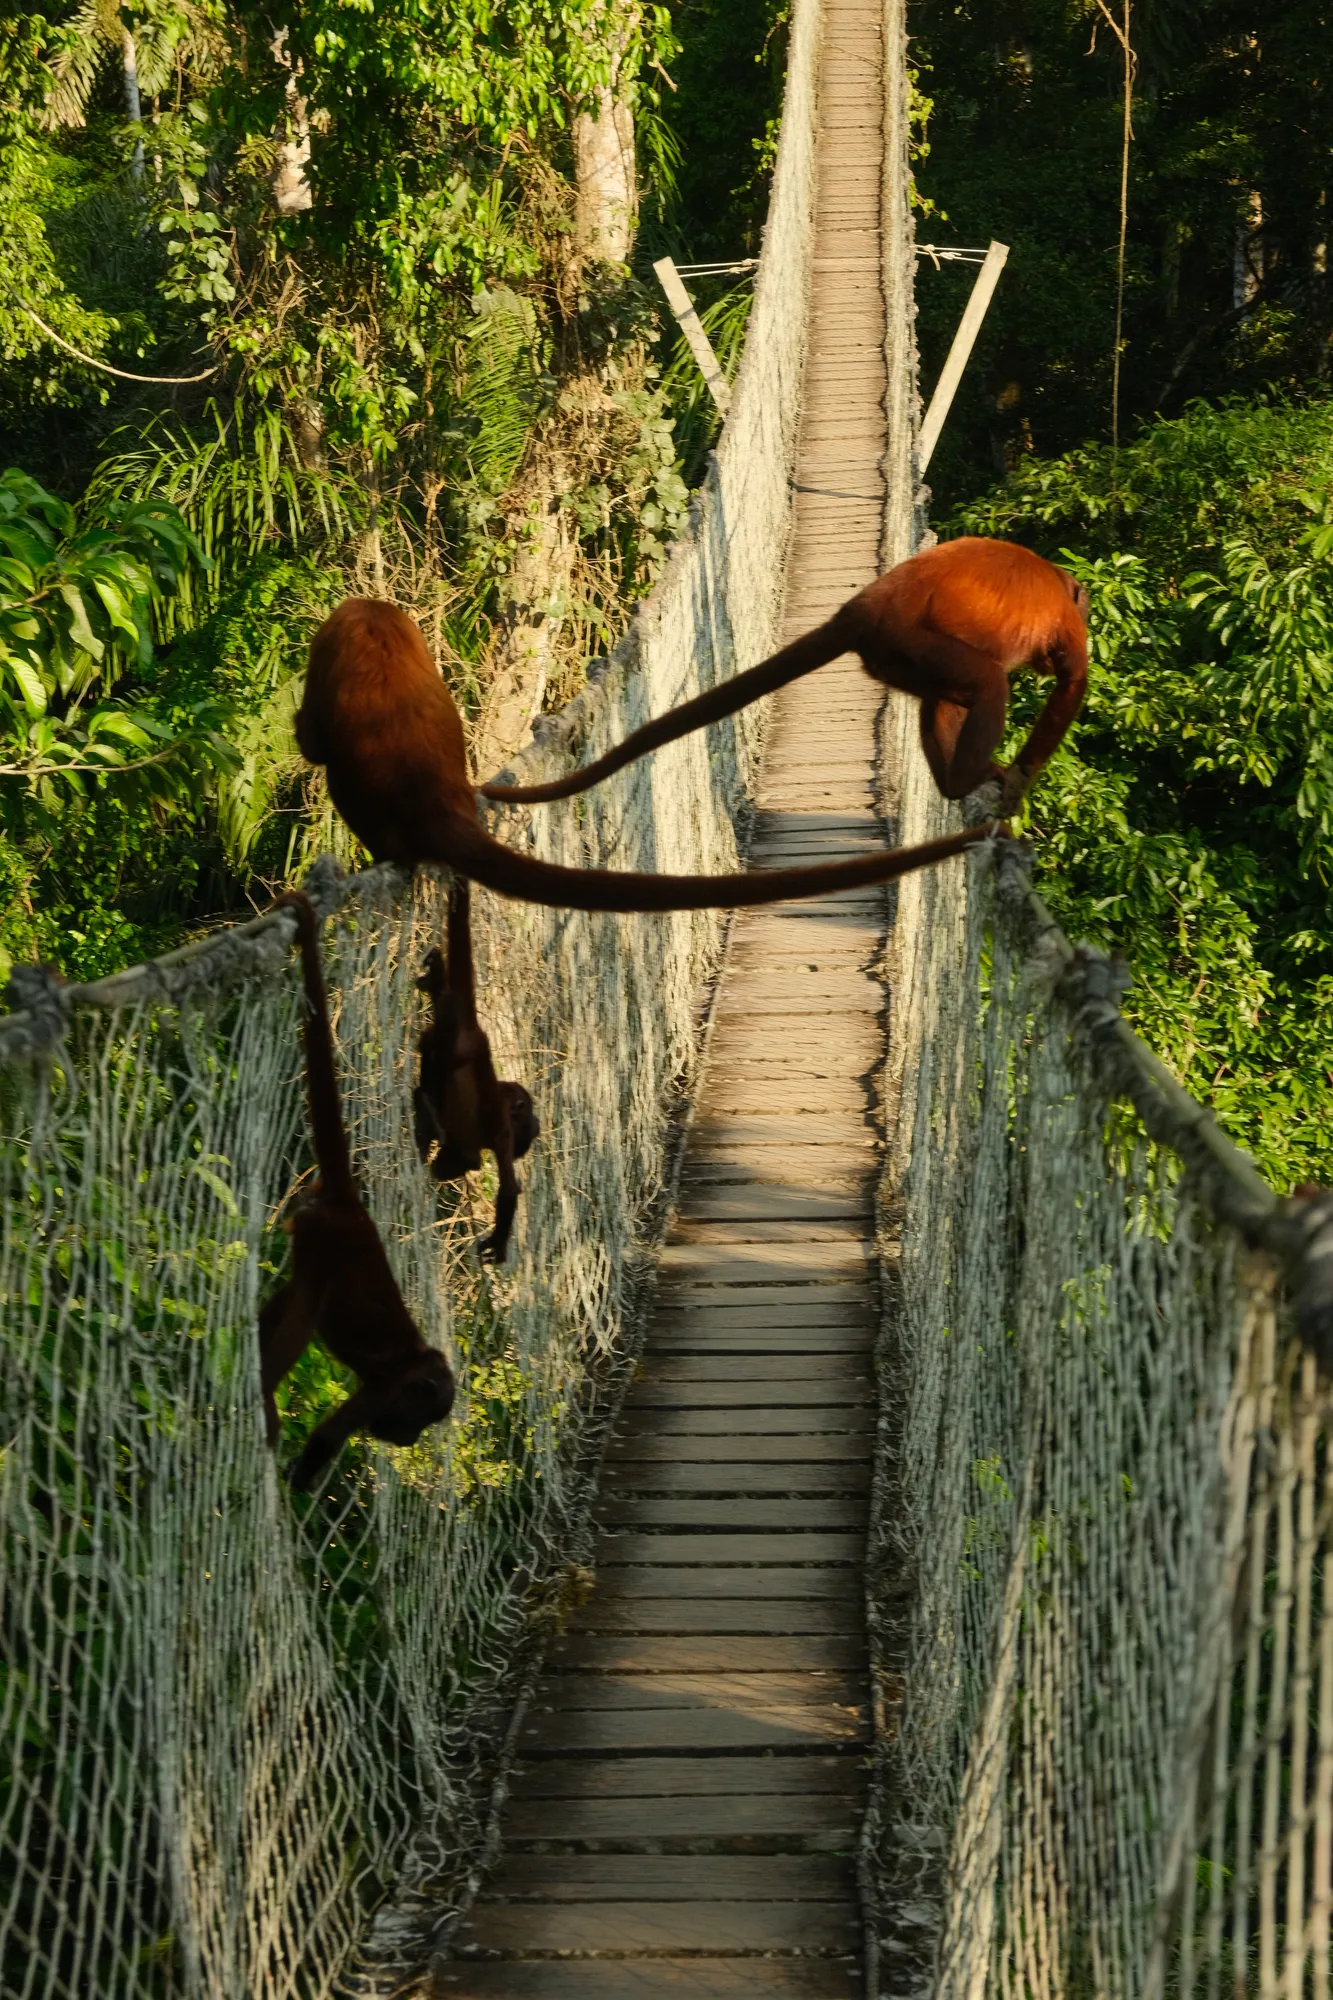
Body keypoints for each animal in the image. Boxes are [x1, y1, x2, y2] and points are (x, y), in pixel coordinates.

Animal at [260, 891, 455, 1490]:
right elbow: (329, 1434)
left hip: (308, 1226)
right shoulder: (384, 1390)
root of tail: (350, 1205)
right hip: (324, 1241)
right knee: (301, 1310)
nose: (408, 1440)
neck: (419, 1364)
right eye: (419, 1418)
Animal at [414, 878, 539, 1264]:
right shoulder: (503, 1129)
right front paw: (498, 1243)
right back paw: (428, 1111)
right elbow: (509, 1187)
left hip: (444, 1032)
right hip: (453, 1043)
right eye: (528, 1114)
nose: (536, 1123)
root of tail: (476, 1031)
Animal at [478, 538, 1089, 815]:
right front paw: (1021, 780)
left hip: (895, 654)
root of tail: (865, 606)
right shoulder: (1067, 619)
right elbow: (1071, 684)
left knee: (941, 701)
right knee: (987, 683)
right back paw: (968, 781)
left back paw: (949, 784)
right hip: (906, 638)